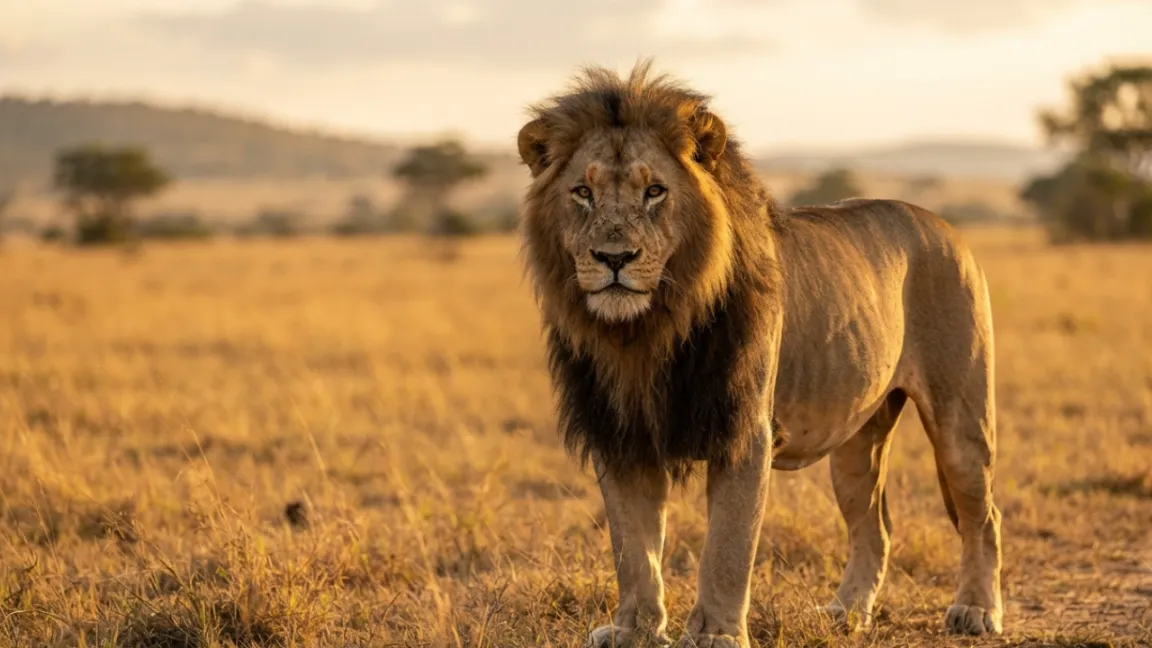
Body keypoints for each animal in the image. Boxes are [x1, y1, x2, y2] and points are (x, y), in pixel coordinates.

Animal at [517, 61, 1003, 648]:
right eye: (582, 192)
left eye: (655, 191)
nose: (614, 258)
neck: (646, 333)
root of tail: (947, 227)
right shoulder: (621, 433)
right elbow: (633, 550)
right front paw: (633, 628)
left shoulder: (744, 430)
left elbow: (727, 547)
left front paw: (715, 635)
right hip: (856, 442)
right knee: (876, 525)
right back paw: (847, 612)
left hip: (961, 420)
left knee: (984, 517)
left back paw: (975, 610)